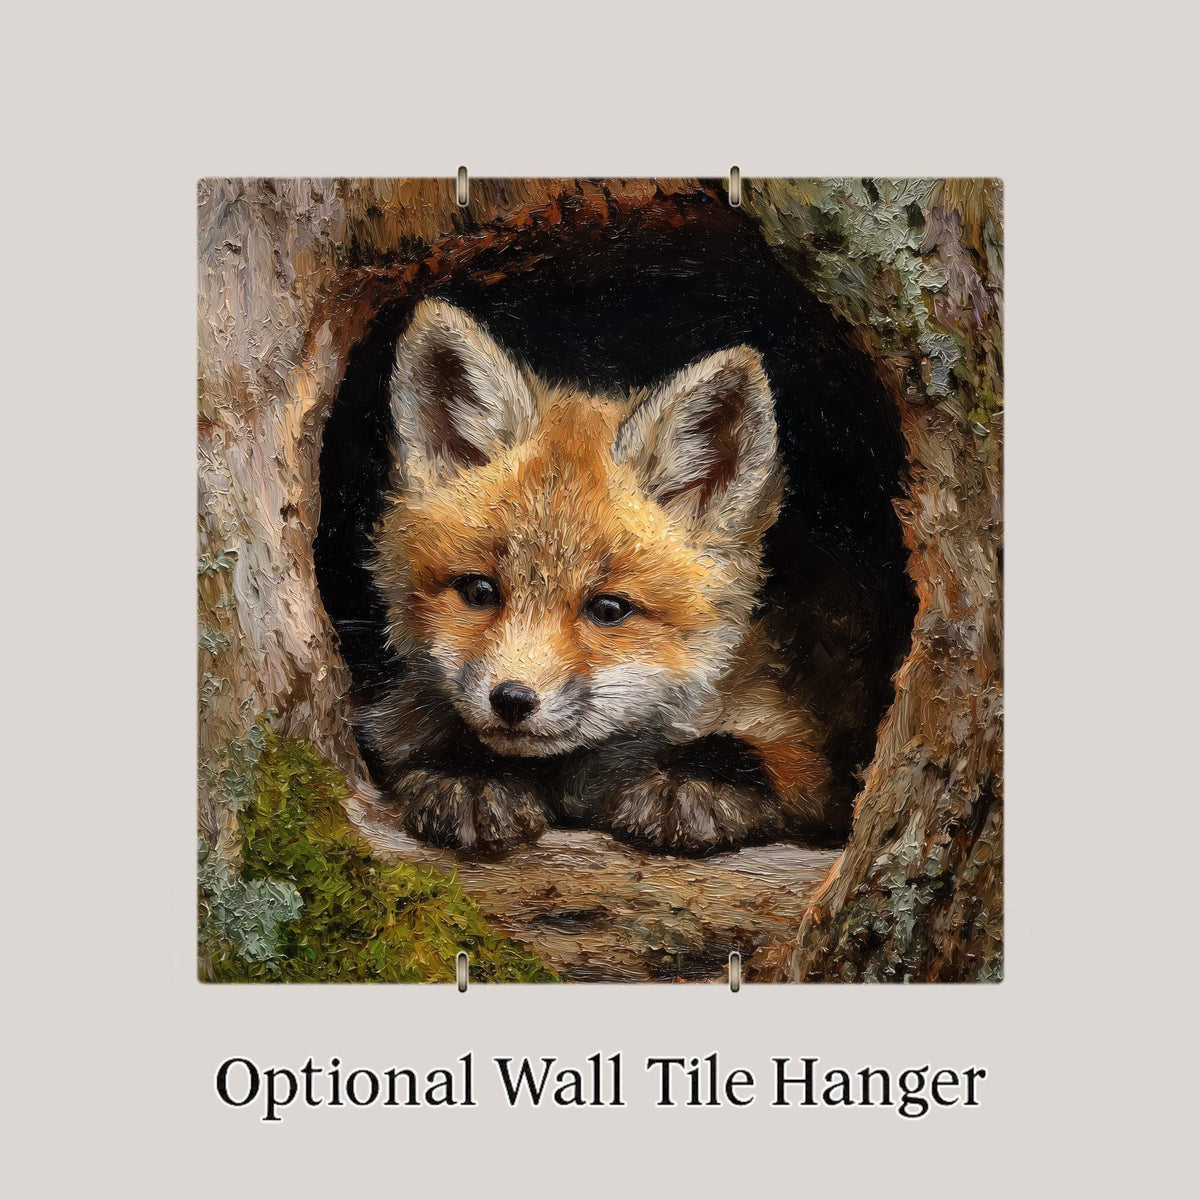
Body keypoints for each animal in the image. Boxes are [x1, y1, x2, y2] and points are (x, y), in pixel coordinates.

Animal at [358, 298, 833, 855]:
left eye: (608, 609)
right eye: (479, 590)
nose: (512, 700)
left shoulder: (783, 727)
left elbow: (755, 752)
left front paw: (692, 780)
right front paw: (472, 776)